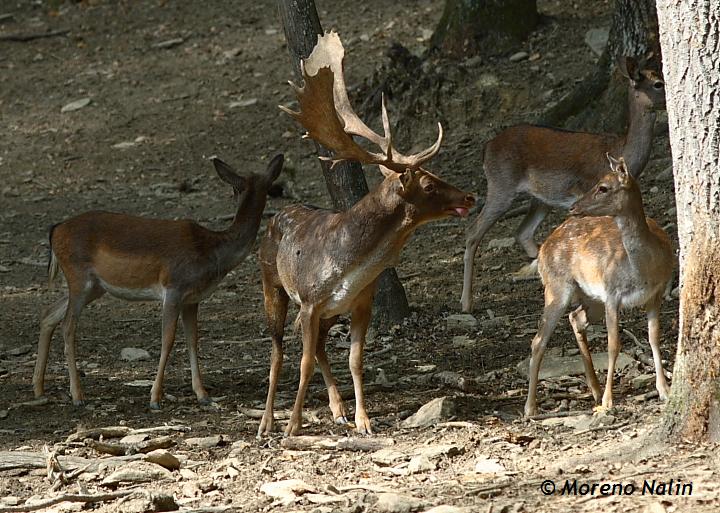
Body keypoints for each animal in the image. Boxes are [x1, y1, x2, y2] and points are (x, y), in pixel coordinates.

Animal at [35, 155, 284, 408]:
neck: (212, 252)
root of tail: (55, 230)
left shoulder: (192, 299)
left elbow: (193, 339)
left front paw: (202, 394)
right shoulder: (174, 287)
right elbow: (168, 339)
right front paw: (155, 397)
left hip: (94, 286)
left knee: (49, 313)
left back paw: (39, 389)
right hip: (78, 276)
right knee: (68, 325)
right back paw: (77, 395)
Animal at [256, 33, 476, 436]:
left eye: (436, 174)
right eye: (428, 184)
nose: (468, 196)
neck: (350, 265)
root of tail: (275, 215)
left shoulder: (361, 302)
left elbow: (356, 360)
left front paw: (364, 420)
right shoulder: (309, 301)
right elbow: (303, 363)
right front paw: (293, 425)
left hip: (329, 312)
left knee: (319, 345)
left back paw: (338, 409)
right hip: (272, 284)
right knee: (278, 349)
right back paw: (267, 422)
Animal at [464, 56, 668, 312]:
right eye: (658, 83)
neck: (620, 151)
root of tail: (486, 148)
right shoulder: (586, 194)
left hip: (540, 199)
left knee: (523, 232)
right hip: (501, 185)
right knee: (473, 232)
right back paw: (466, 303)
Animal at [524, 155, 676, 416]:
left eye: (603, 187)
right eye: (595, 182)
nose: (574, 207)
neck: (645, 267)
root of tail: (542, 250)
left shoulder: (655, 294)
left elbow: (654, 338)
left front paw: (664, 390)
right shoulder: (612, 293)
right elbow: (613, 345)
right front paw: (608, 401)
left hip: (591, 298)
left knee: (575, 318)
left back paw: (593, 389)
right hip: (557, 287)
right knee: (538, 340)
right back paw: (530, 407)